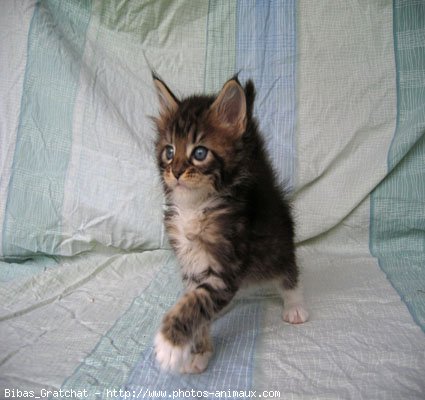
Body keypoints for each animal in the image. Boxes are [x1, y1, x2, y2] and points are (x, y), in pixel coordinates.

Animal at [152, 75, 308, 376]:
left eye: (200, 152)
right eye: (169, 151)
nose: (175, 172)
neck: (195, 207)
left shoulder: (226, 265)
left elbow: (197, 302)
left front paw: (170, 343)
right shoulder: (193, 268)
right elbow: (195, 301)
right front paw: (199, 351)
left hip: (279, 241)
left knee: (288, 271)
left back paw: (295, 305)